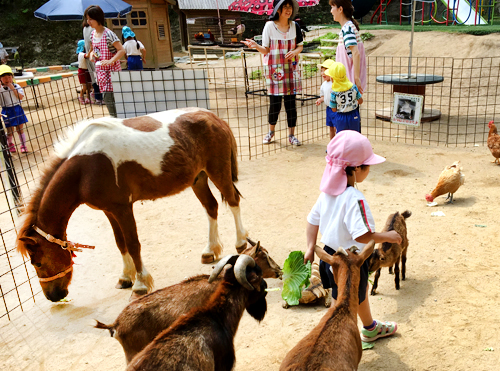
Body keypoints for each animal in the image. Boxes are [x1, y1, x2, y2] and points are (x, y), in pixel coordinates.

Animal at [16, 107, 248, 302]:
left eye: (37, 262)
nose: (53, 296)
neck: (85, 168)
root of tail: (214, 118)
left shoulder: (123, 209)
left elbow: (133, 243)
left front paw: (140, 283)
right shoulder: (109, 210)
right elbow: (121, 243)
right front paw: (125, 278)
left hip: (218, 172)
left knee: (233, 201)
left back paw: (241, 242)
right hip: (198, 179)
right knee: (211, 207)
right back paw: (210, 250)